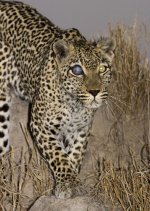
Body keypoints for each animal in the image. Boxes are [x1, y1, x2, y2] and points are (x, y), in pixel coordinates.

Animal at [0, 0, 115, 198]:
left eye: (102, 69)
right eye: (77, 70)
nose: (94, 91)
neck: (74, 104)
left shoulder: (81, 129)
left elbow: (75, 155)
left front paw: (73, 180)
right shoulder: (40, 125)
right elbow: (58, 155)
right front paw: (67, 183)